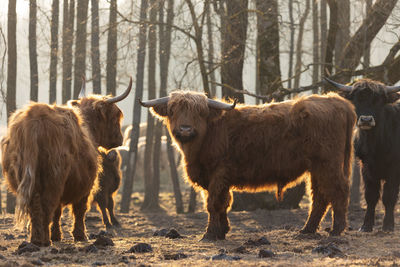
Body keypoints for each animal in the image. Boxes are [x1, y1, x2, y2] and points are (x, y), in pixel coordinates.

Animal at [1, 78, 133, 247]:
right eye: (116, 116)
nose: (120, 139)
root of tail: (35, 119)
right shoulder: (87, 184)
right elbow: (79, 209)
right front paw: (80, 235)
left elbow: (58, 212)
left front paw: (57, 235)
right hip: (53, 178)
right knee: (46, 205)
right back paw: (44, 240)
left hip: (25, 177)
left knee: (35, 206)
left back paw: (36, 239)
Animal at [141, 91, 356, 241]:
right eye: (173, 110)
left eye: (200, 112)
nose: (185, 129)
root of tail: (336, 100)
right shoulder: (214, 178)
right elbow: (223, 203)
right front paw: (222, 231)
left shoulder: (218, 174)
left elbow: (213, 203)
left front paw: (210, 234)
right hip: (316, 167)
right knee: (320, 196)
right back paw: (307, 230)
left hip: (328, 163)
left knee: (338, 190)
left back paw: (336, 230)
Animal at [326, 77, 400, 232]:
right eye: (357, 99)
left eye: (378, 100)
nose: (366, 120)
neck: (376, 146)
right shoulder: (366, 168)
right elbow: (370, 196)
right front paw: (366, 225)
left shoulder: (394, 170)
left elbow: (389, 196)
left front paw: (388, 225)